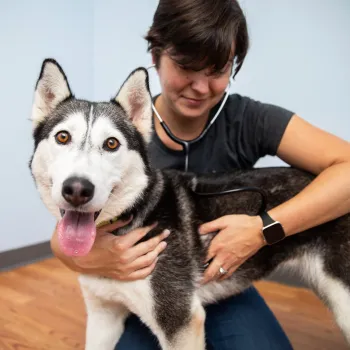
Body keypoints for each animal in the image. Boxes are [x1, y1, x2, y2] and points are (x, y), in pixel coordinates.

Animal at [30, 58, 350, 348]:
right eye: (62, 137)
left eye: (111, 144)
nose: (77, 189)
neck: (130, 218)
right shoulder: (103, 315)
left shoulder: (179, 320)